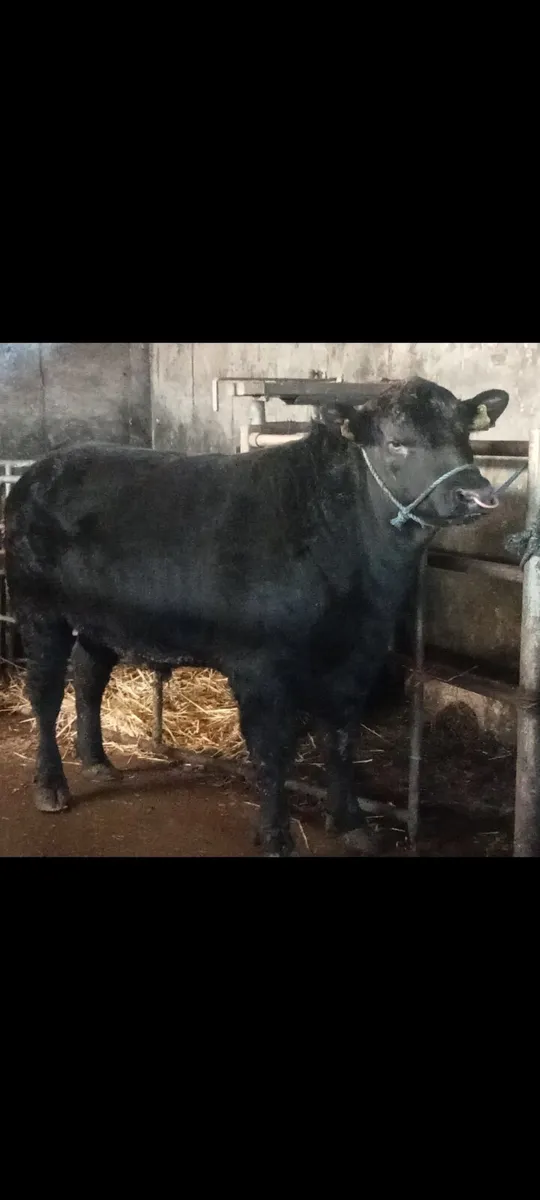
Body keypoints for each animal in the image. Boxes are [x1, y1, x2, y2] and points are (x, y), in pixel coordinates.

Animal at [4, 376, 509, 855]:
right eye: (396, 442)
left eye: (465, 432)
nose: (475, 493)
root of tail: (45, 466)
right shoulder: (260, 666)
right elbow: (272, 752)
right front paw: (275, 835)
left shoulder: (359, 657)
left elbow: (342, 740)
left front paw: (352, 823)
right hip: (38, 610)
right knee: (46, 694)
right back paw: (51, 785)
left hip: (99, 620)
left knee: (89, 679)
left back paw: (97, 762)